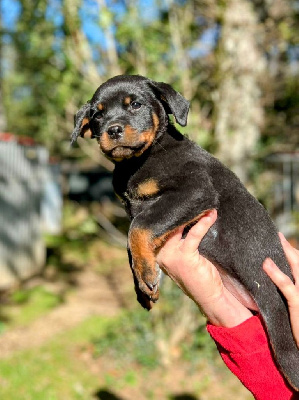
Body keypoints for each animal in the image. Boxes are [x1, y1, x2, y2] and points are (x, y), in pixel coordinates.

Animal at [72, 73, 299, 390]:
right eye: (97, 114)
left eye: (136, 104)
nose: (113, 130)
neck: (138, 161)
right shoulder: (139, 208)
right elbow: (130, 241)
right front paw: (143, 286)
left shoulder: (194, 190)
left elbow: (138, 229)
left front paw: (146, 274)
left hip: (282, 330)